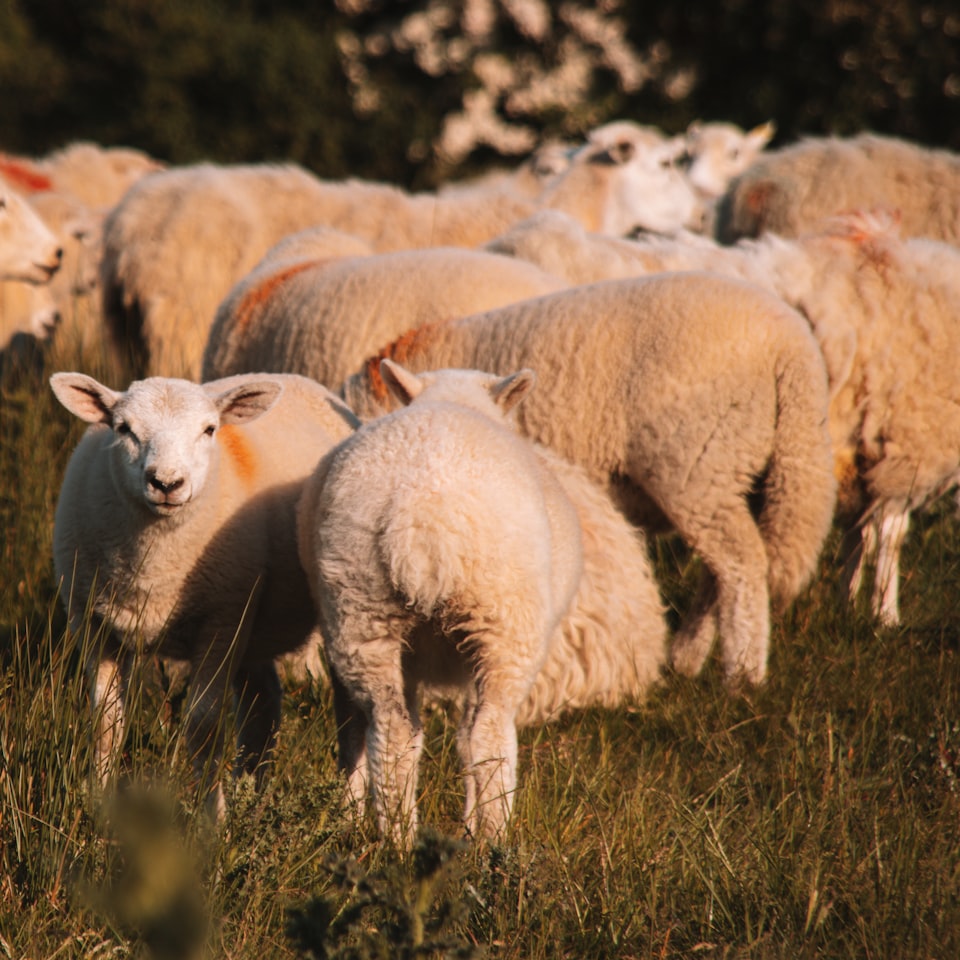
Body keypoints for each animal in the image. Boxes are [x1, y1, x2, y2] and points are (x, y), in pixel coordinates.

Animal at [50, 370, 360, 819]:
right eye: (123, 429)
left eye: (209, 430)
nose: (166, 483)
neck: (152, 568)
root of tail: (298, 379)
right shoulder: (91, 621)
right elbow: (106, 721)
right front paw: (98, 807)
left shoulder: (220, 623)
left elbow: (204, 724)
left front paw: (211, 816)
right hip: (254, 619)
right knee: (262, 703)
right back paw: (252, 795)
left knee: (350, 712)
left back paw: (349, 808)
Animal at [297, 360, 584, 843]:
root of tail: (422, 516)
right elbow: (467, 737)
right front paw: (470, 824)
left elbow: (363, 730)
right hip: (505, 623)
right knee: (489, 733)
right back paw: (493, 840)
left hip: (361, 612)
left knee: (391, 730)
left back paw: (397, 838)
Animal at [340, 273, 836, 686]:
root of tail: (794, 351)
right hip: (741, 467)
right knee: (721, 569)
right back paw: (689, 656)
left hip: (695, 463)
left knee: (741, 563)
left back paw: (742, 673)